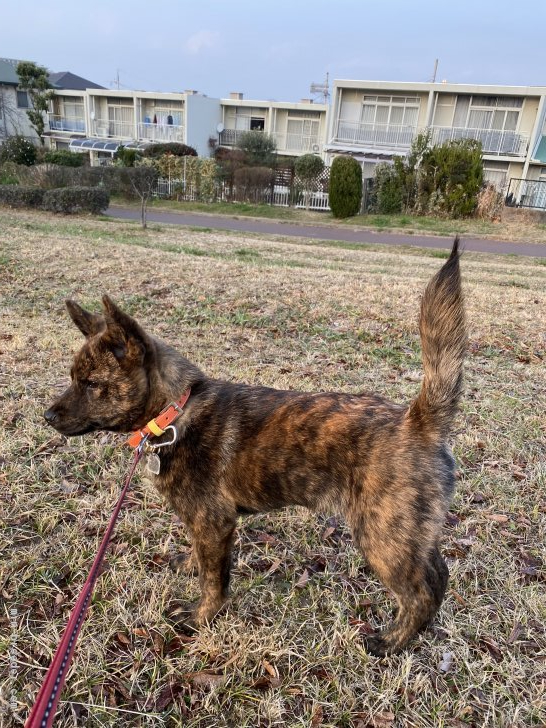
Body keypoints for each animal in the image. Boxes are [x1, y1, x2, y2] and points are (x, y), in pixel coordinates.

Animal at [44, 237, 466, 656]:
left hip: (382, 537)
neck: (174, 411)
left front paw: (201, 618)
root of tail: (417, 421)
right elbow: (200, 557)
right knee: (439, 575)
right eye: (73, 377)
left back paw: (392, 641)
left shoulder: (215, 522)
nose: (47, 415)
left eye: (91, 384)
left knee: (419, 594)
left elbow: (214, 581)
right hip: (410, 535)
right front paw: (190, 565)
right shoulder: (203, 525)